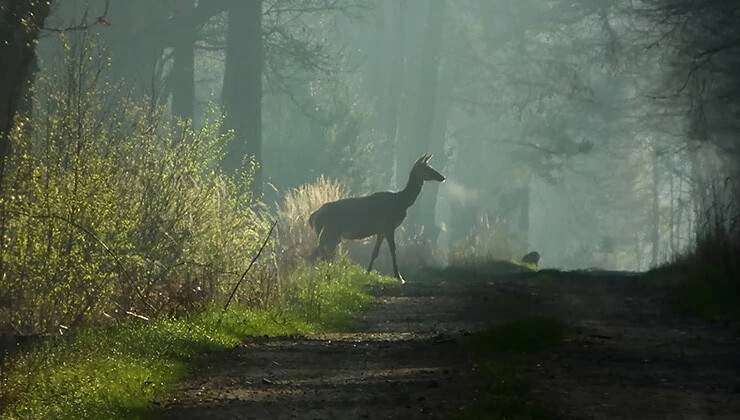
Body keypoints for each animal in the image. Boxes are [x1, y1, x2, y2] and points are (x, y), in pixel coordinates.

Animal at [308, 153, 446, 284]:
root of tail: (314, 215)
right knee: (317, 252)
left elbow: (375, 253)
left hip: (331, 235)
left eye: (430, 166)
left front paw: (367, 273)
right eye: (426, 168)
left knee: (324, 253)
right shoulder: (389, 226)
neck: (401, 202)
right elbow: (393, 249)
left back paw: (326, 275)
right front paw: (399, 277)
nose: (442, 177)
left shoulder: (381, 230)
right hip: (329, 231)